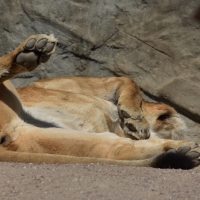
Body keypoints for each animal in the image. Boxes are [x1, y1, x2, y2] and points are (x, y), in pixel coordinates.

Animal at [0, 34, 199, 169]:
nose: (173, 110)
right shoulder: (60, 83)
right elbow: (127, 80)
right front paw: (135, 119)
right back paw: (33, 50)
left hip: (38, 135)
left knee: (116, 150)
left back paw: (184, 150)